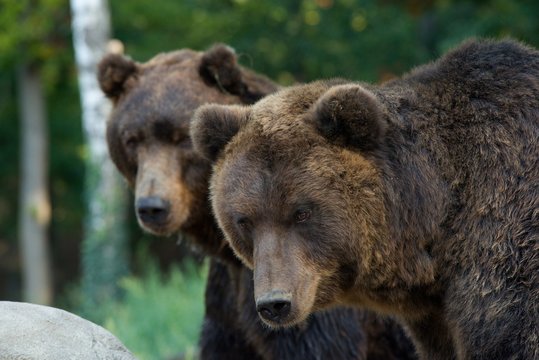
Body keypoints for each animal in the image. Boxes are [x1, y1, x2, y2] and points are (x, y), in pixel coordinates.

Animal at [98, 43, 418, 358]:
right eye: (131, 139)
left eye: (182, 138)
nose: (152, 206)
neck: (228, 252)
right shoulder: (229, 306)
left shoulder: (312, 287)